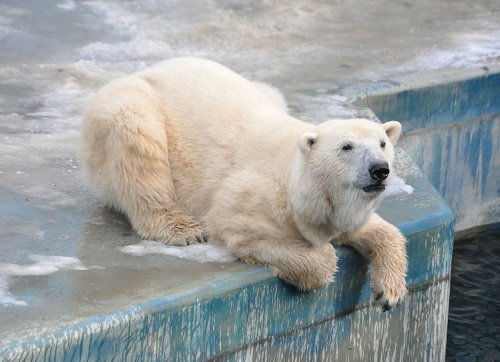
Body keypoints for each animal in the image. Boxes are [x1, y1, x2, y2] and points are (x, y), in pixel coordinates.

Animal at [81, 58, 406, 310]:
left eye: (383, 143)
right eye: (346, 147)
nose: (380, 170)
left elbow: (380, 230)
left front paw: (388, 291)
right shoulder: (256, 196)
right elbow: (242, 230)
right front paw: (321, 257)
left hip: (268, 91)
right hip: (129, 107)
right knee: (137, 139)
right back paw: (181, 228)